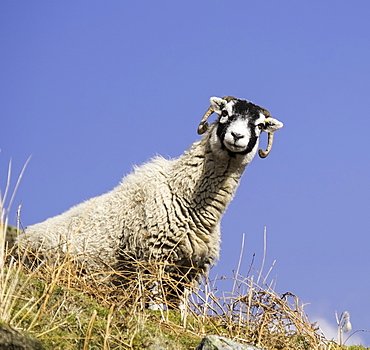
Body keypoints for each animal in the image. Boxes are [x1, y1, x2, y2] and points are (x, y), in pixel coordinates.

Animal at [15, 96, 284, 306]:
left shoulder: (187, 273)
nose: (237, 136)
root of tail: (20, 239)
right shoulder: (152, 259)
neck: (185, 198)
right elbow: (153, 306)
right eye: (225, 113)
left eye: (259, 125)